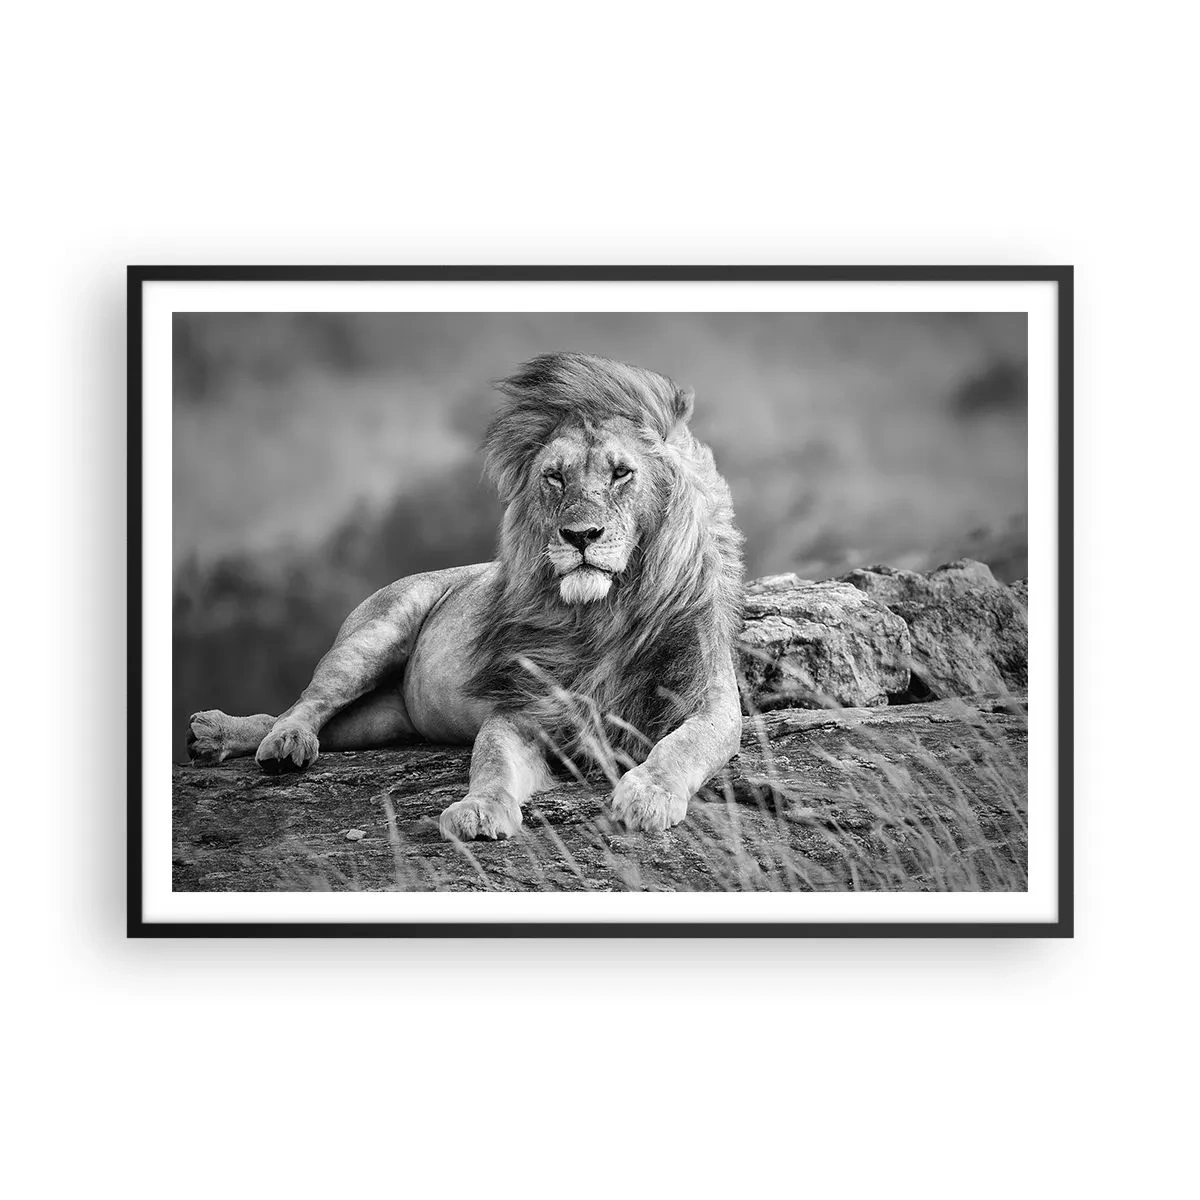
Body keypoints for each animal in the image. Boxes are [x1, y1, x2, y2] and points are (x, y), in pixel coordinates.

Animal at [187, 352, 745, 838]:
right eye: (555, 476)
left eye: (621, 472)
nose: (580, 536)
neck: (603, 614)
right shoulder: (523, 708)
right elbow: (492, 761)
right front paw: (478, 810)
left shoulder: (711, 701)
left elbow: (683, 746)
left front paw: (649, 795)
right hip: (373, 635)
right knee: (306, 703)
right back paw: (270, 740)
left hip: (383, 721)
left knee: (303, 718)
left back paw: (219, 736)